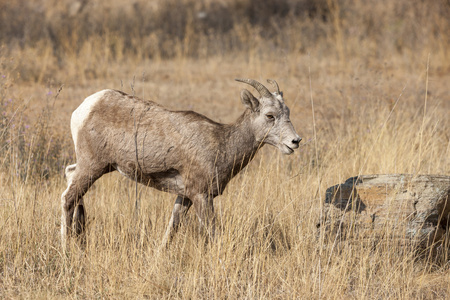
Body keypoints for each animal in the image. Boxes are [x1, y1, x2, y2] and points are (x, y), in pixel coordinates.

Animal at [59, 78, 300, 247]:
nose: (295, 141)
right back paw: (65, 248)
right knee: (68, 197)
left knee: (70, 177)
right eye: (270, 116)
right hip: (92, 166)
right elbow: (213, 234)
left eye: (287, 112)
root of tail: (84, 108)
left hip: (96, 167)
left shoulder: (184, 196)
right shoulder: (202, 196)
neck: (222, 143)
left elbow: (171, 229)